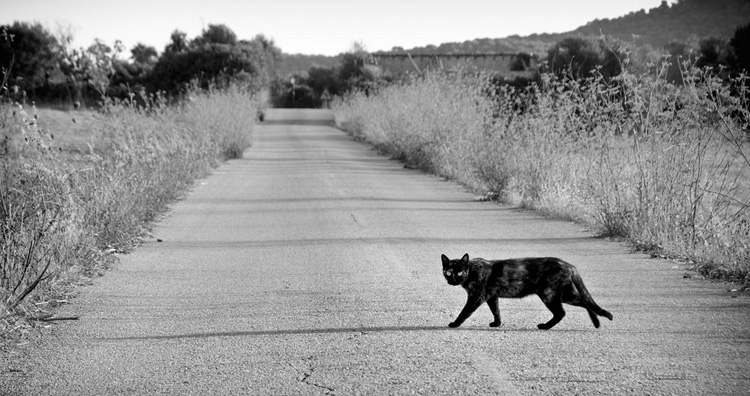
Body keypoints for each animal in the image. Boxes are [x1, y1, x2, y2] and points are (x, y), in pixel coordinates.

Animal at [444, 255, 612, 330]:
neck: (471, 270)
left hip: (549, 294)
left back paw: (545, 326)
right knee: (585, 301)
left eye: (459, 272)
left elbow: (465, 312)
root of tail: (569, 265)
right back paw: (596, 322)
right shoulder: (492, 297)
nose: (452, 280)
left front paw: (455, 323)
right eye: (448, 272)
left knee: (562, 312)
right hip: (565, 294)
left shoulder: (476, 296)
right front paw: (497, 323)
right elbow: (496, 311)